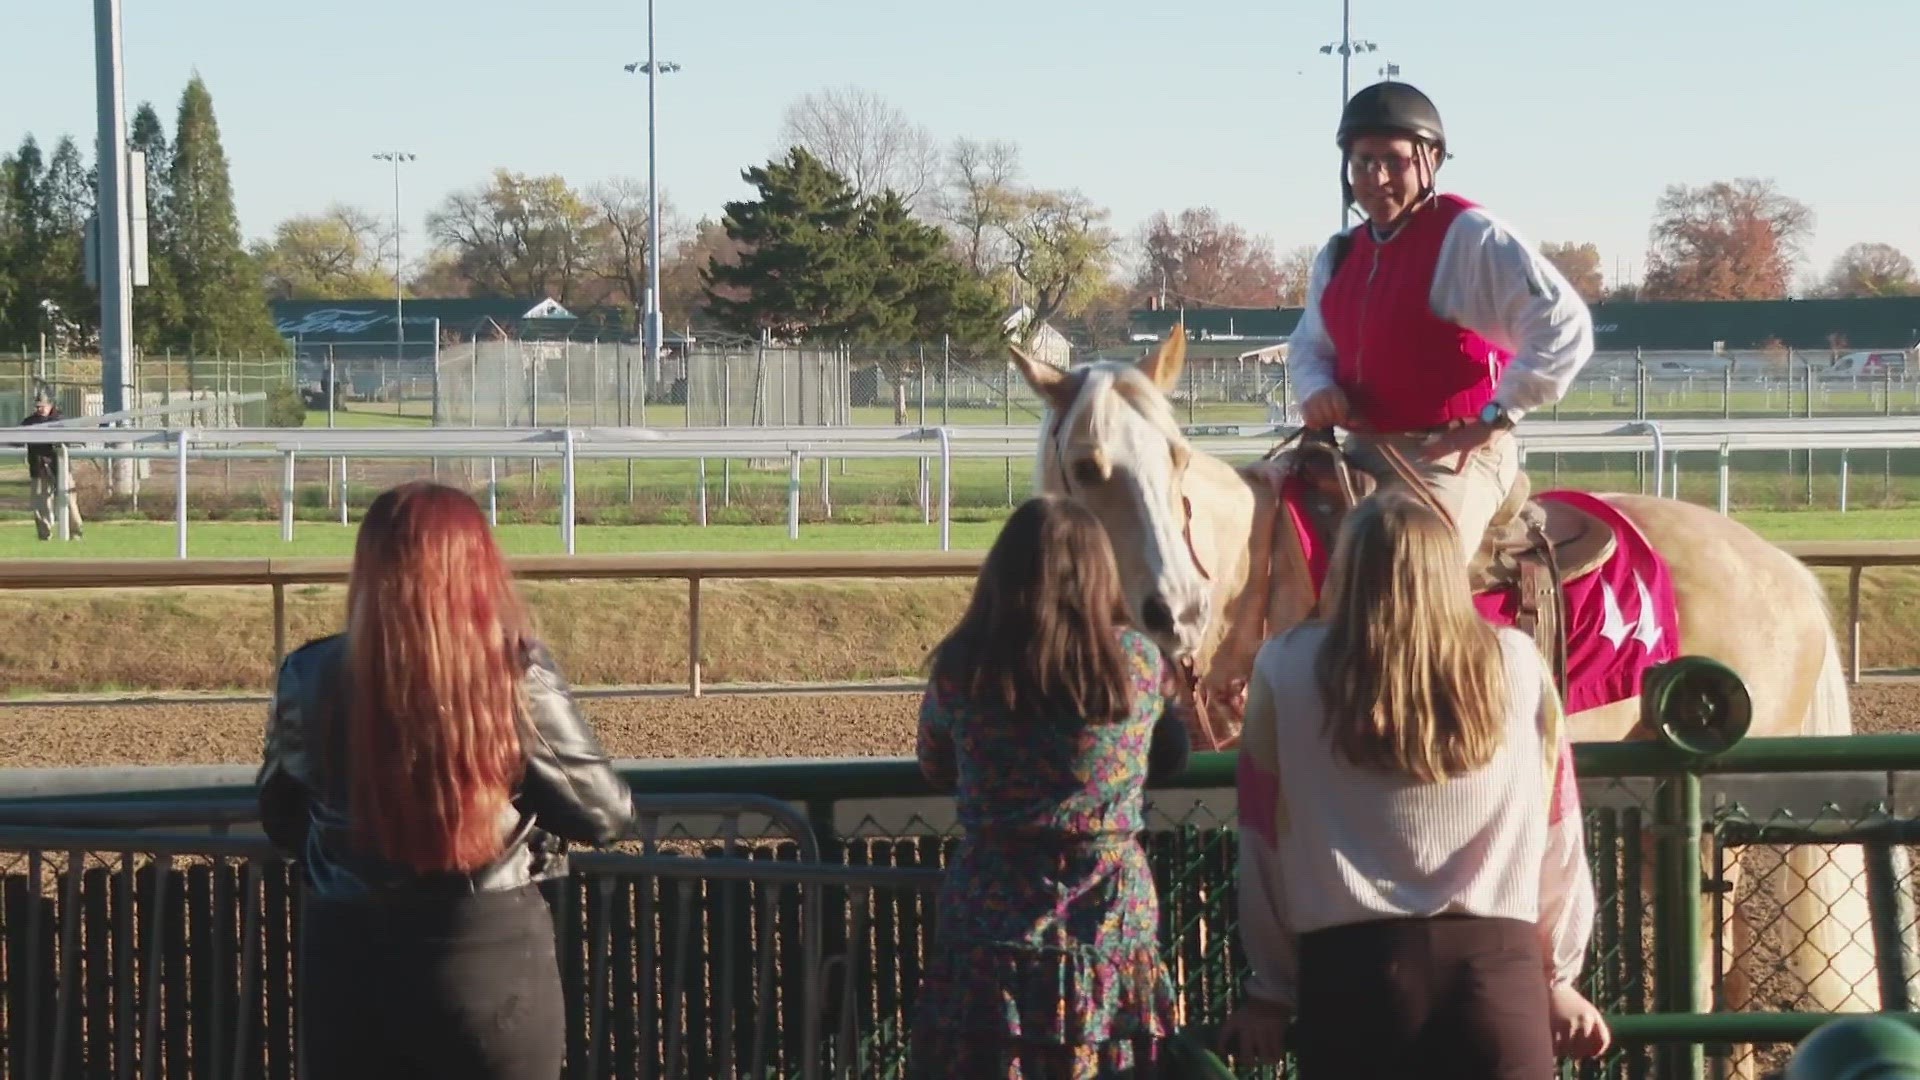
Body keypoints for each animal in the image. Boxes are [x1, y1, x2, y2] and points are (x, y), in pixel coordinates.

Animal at [1013, 328, 1881, 1068]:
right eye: (1085, 467)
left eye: (1175, 454)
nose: (1175, 608)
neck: (1250, 576)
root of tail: (1781, 568)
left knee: (1716, 953)